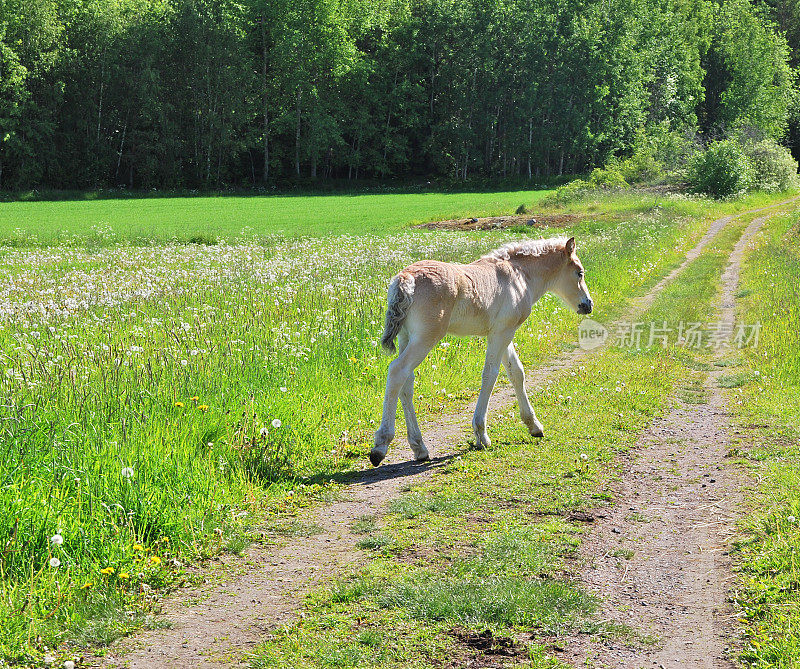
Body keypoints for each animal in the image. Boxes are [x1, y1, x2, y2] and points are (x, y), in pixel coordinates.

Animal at [372, 237, 592, 468]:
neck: (520, 274)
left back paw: (419, 447)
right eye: (579, 272)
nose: (588, 305)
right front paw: (481, 434)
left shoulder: (502, 332)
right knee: (397, 371)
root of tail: (405, 277)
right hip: (426, 338)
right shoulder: (502, 333)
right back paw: (380, 446)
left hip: (406, 337)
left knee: (407, 382)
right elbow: (490, 375)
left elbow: (516, 372)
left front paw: (534, 426)